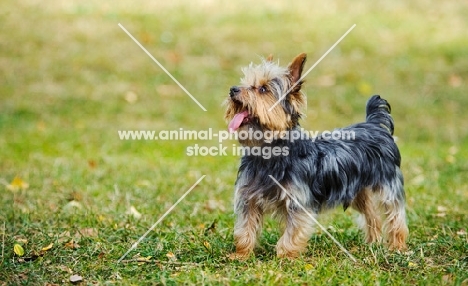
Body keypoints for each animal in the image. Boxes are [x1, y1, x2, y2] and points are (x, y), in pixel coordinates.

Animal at [225, 52, 408, 260]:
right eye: (245, 82)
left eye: (263, 89)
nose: (233, 89)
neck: (269, 153)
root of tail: (374, 124)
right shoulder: (248, 199)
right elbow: (244, 229)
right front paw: (241, 254)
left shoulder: (298, 202)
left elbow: (292, 232)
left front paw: (285, 257)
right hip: (357, 190)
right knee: (372, 215)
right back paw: (373, 243)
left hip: (388, 184)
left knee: (395, 215)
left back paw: (397, 246)